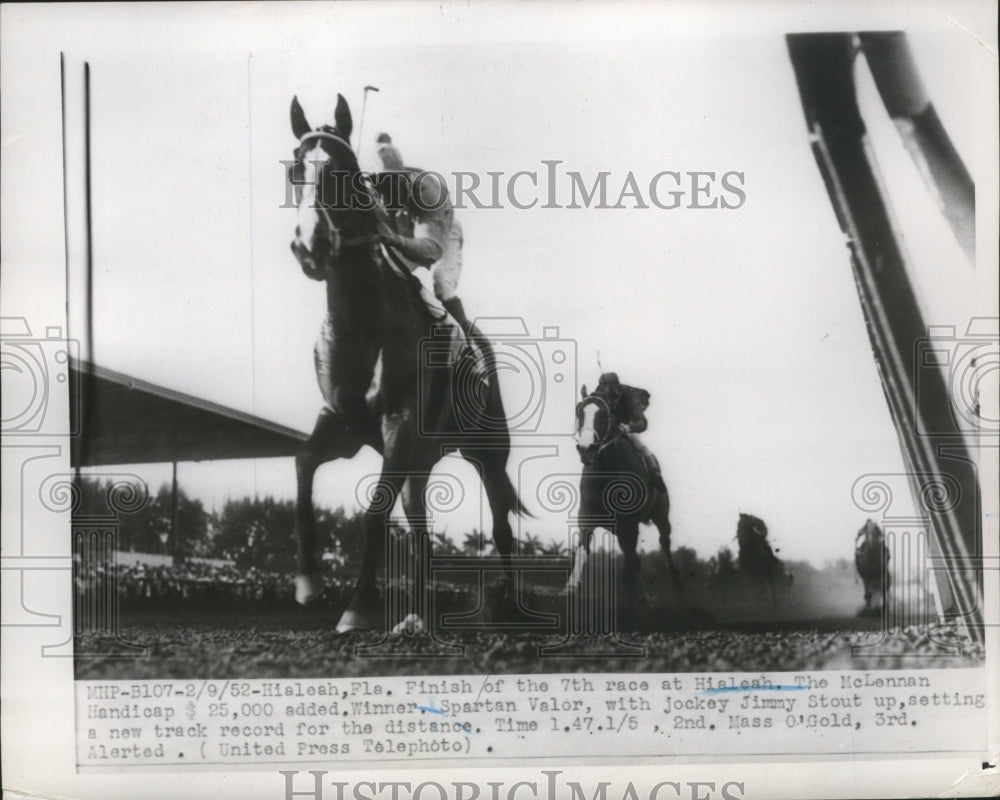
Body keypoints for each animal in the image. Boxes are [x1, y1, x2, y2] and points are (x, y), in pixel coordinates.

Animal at [288, 95, 528, 632]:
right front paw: (308, 581)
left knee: (502, 525)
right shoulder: (343, 422)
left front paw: (356, 609)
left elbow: (375, 513)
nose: (311, 246)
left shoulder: (399, 422)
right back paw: (417, 616)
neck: (362, 322)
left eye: (343, 172)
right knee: (420, 528)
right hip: (420, 459)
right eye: (295, 169)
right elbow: (303, 462)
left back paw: (507, 605)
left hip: (487, 450)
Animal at [564, 388, 680, 608]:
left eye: (604, 415)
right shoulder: (587, 517)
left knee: (664, 544)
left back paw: (677, 586)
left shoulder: (629, 523)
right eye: (579, 412)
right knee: (634, 557)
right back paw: (643, 596)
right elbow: (583, 550)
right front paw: (570, 588)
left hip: (661, 516)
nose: (585, 449)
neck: (607, 473)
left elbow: (629, 565)